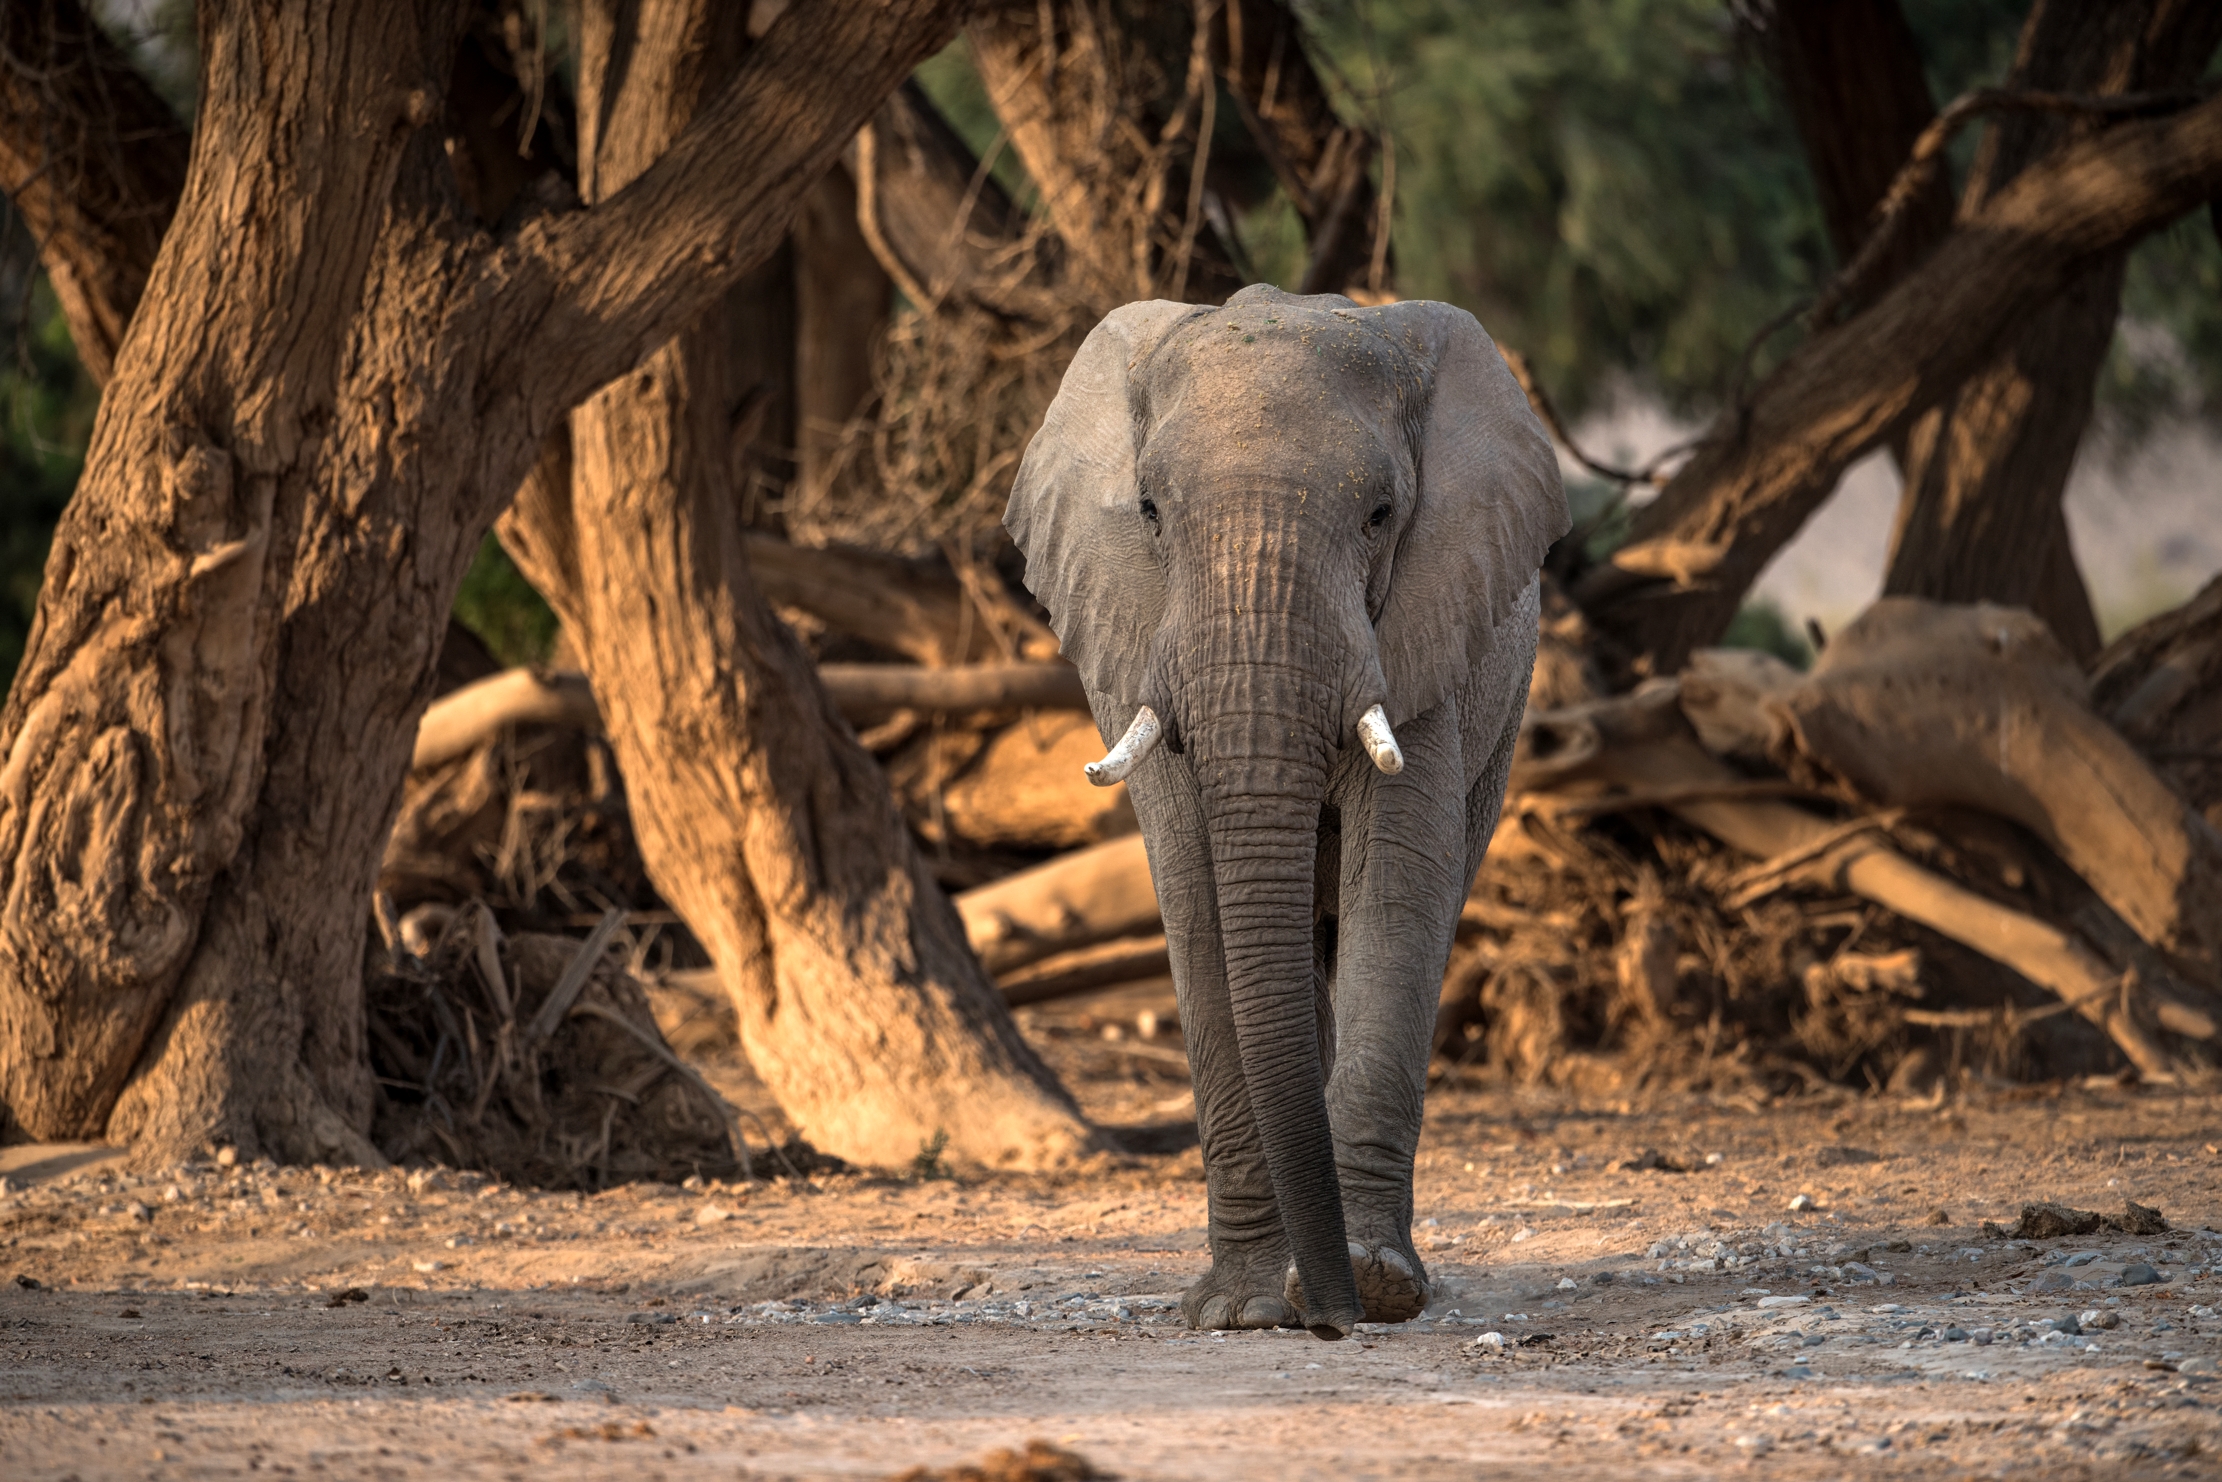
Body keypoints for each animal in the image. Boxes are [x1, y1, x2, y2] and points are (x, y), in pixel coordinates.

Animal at [1004, 283, 1568, 1340]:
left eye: (1383, 514)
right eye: (1150, 511)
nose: (1333, 1319)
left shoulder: (1426, 631)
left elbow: (1396, 882)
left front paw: (1375, 1287)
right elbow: (1195, 897)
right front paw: (1243, 1309)